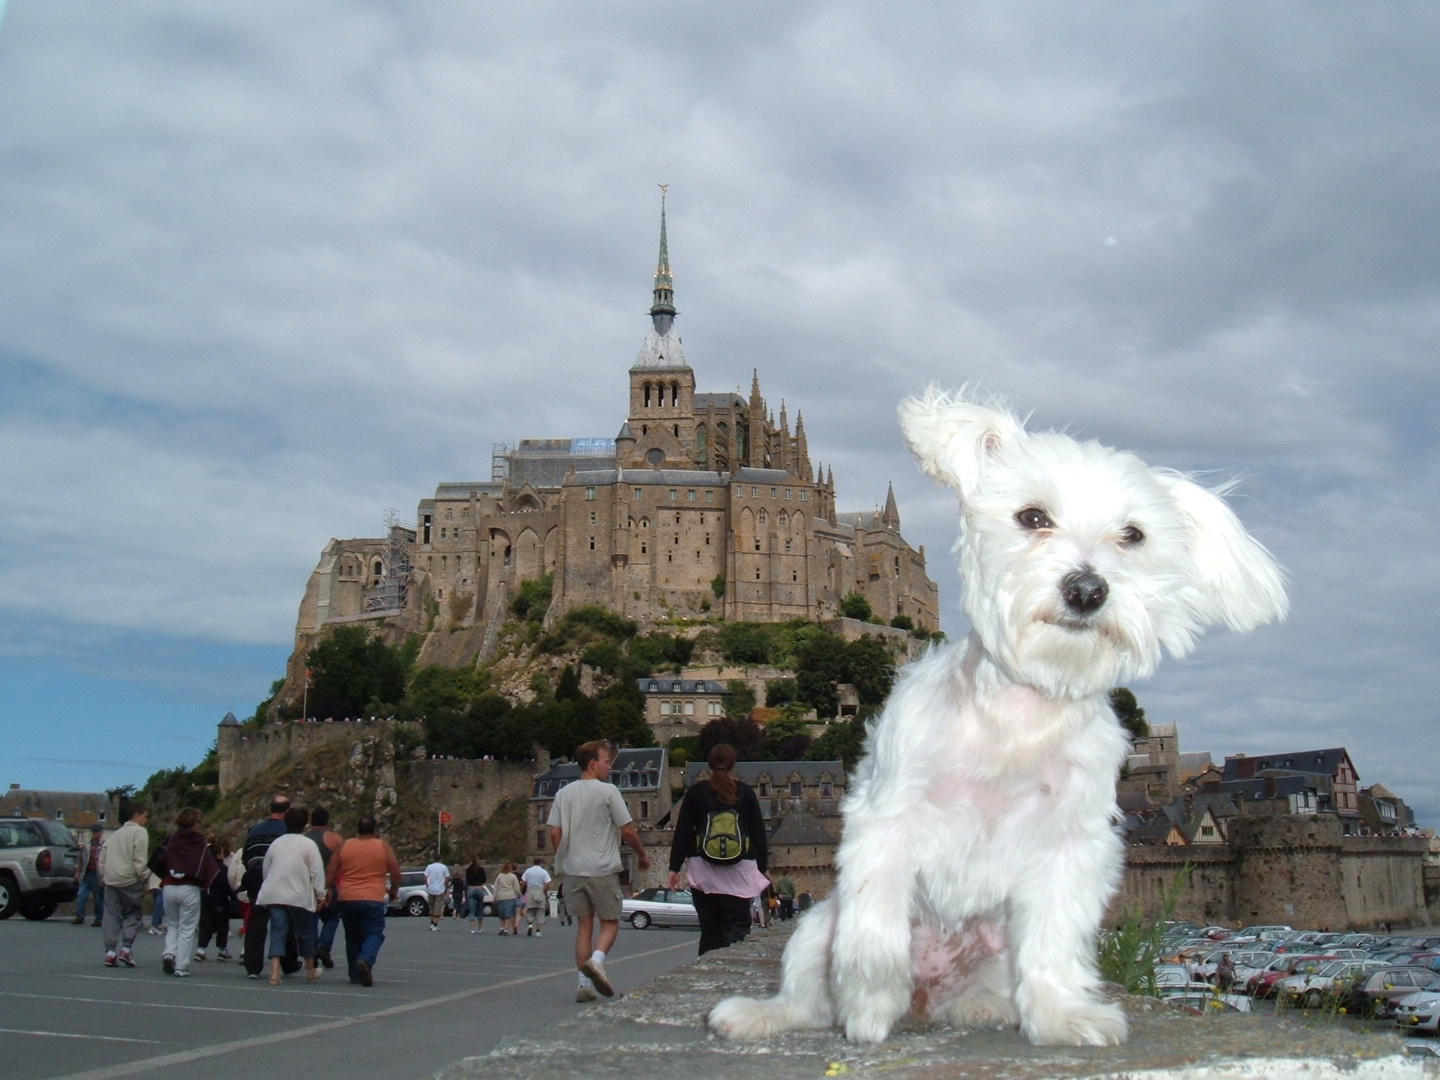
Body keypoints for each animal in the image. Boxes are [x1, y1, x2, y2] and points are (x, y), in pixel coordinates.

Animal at [708, 388, 1284, 1048]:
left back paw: (984, 1008)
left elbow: (1057, 941)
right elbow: (873, 925)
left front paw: (1063, 1016)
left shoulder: (1071, 844)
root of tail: (927, 1001)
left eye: (1133, 534)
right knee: (808, 989)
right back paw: (768, 1014)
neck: (1020, 710)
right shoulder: (886, 819)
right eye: (1032, 517)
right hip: (815, 928)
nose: (1087, 589)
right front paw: (866, 1010)